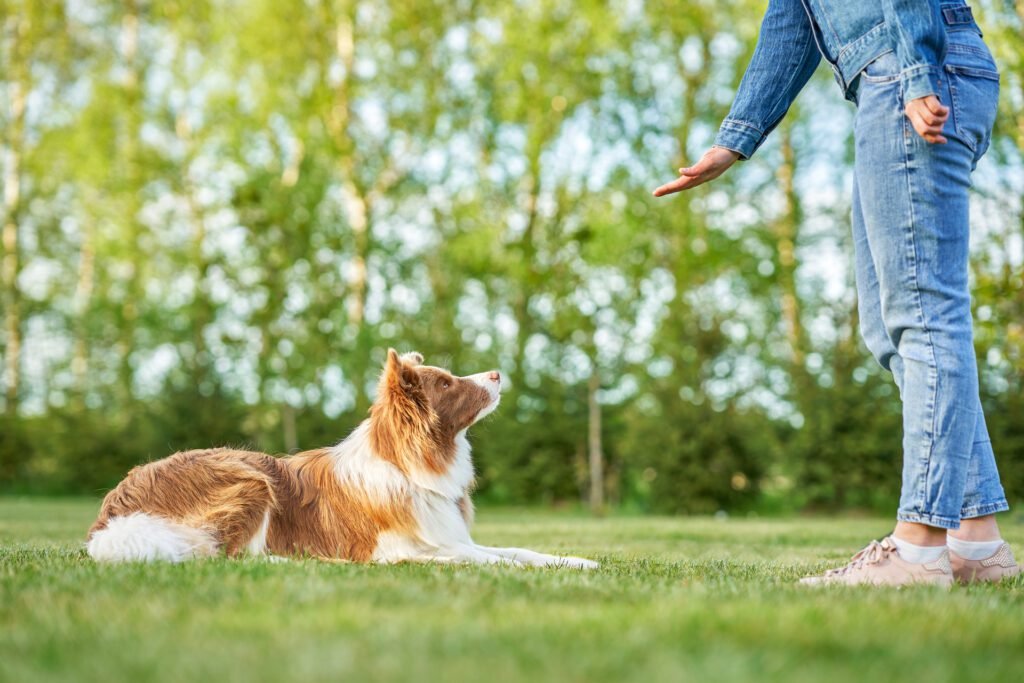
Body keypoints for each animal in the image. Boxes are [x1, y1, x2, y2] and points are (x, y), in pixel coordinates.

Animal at [88, 350, 598, 569]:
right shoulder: (400, 550)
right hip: (249, 477)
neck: (410, 468)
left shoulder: (448, 535)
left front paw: (575, 562)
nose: (496, 373)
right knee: (223, 556)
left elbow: (515, 551)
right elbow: (482, 559)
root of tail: (113, 511)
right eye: (447, 383)